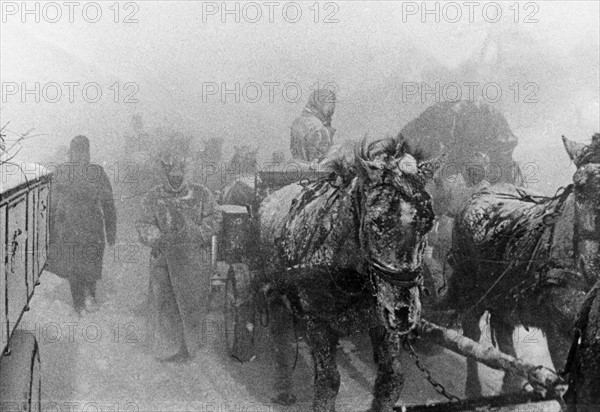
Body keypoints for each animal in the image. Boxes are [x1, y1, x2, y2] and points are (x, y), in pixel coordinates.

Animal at [260, 137, 442, 410]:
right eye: (378, 222)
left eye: (429, 221)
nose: (403, 314)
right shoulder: (317, 322)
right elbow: (328, 381)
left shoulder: (381, 324)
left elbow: (391, 379)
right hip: (274, 292)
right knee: (279, 338)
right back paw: (283, 386)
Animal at [446, 134, 600, 398]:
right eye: (580, 188)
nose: (589, 266)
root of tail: (480, 191)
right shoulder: (559, 332)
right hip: (471, 291)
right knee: (471, 333)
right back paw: (474, 389)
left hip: (504, 298)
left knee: (504, 332)